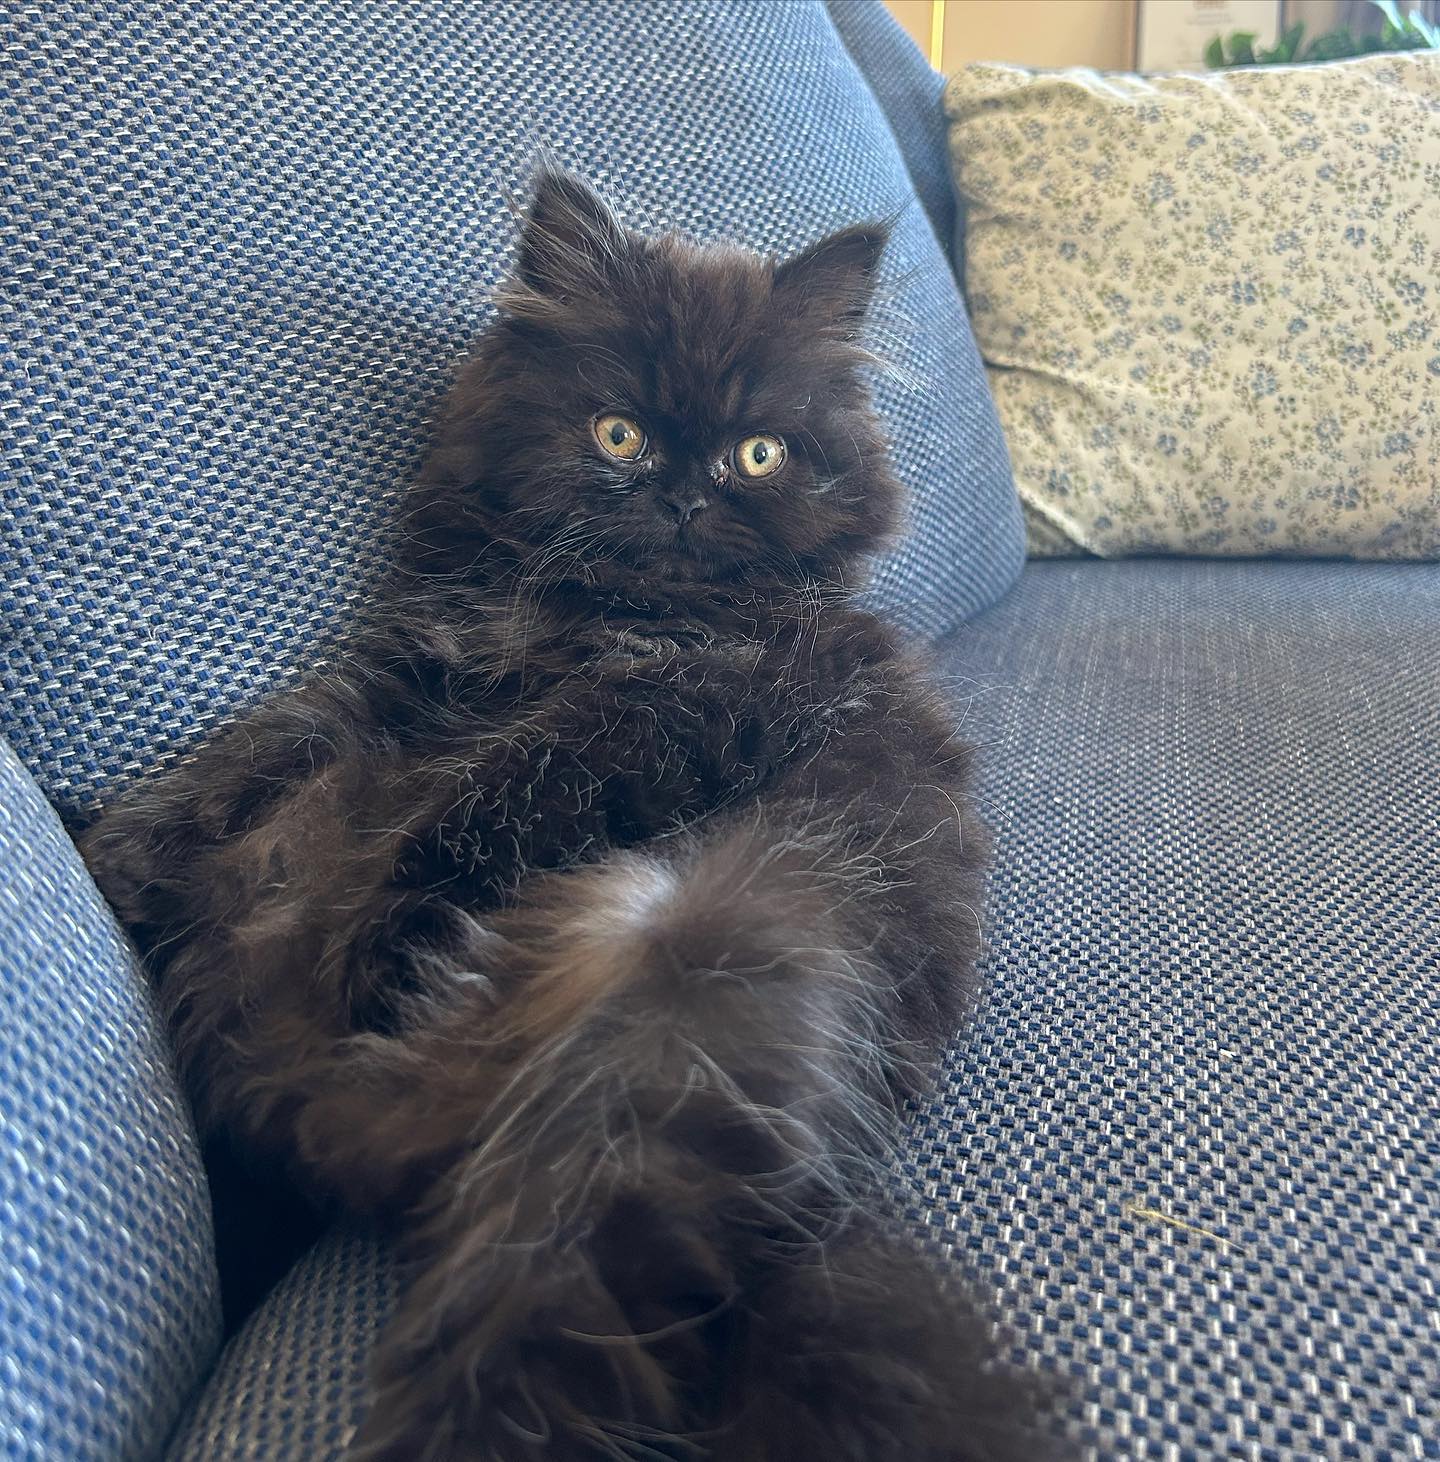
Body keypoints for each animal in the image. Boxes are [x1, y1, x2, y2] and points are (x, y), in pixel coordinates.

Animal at [81, 167, 1055, 1461]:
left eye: (757, 453)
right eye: (618, 433)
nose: (683, 498)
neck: (590, 618)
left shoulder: (676, 707)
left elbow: (496, 791)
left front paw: (388, 939)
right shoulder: (410, 672)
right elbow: (264, 743)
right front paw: (116, 852)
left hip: (674, 1032)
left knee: (537, 1334)